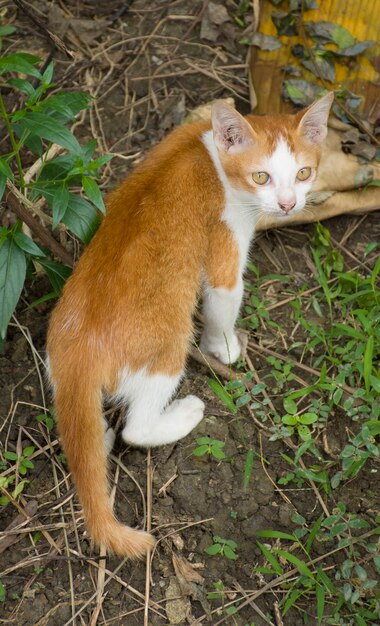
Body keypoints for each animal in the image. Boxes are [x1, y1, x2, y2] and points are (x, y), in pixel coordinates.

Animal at [46, 91, 332, 556]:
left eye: (304, 173)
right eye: (262, 176)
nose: (289, 204)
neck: (210, 151)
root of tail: (77, 353)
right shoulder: (225, 241)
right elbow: (224, 299)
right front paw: (226, 347)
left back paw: (98, 437)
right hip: (166, 347)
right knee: (138, 429)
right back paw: (182, 414)